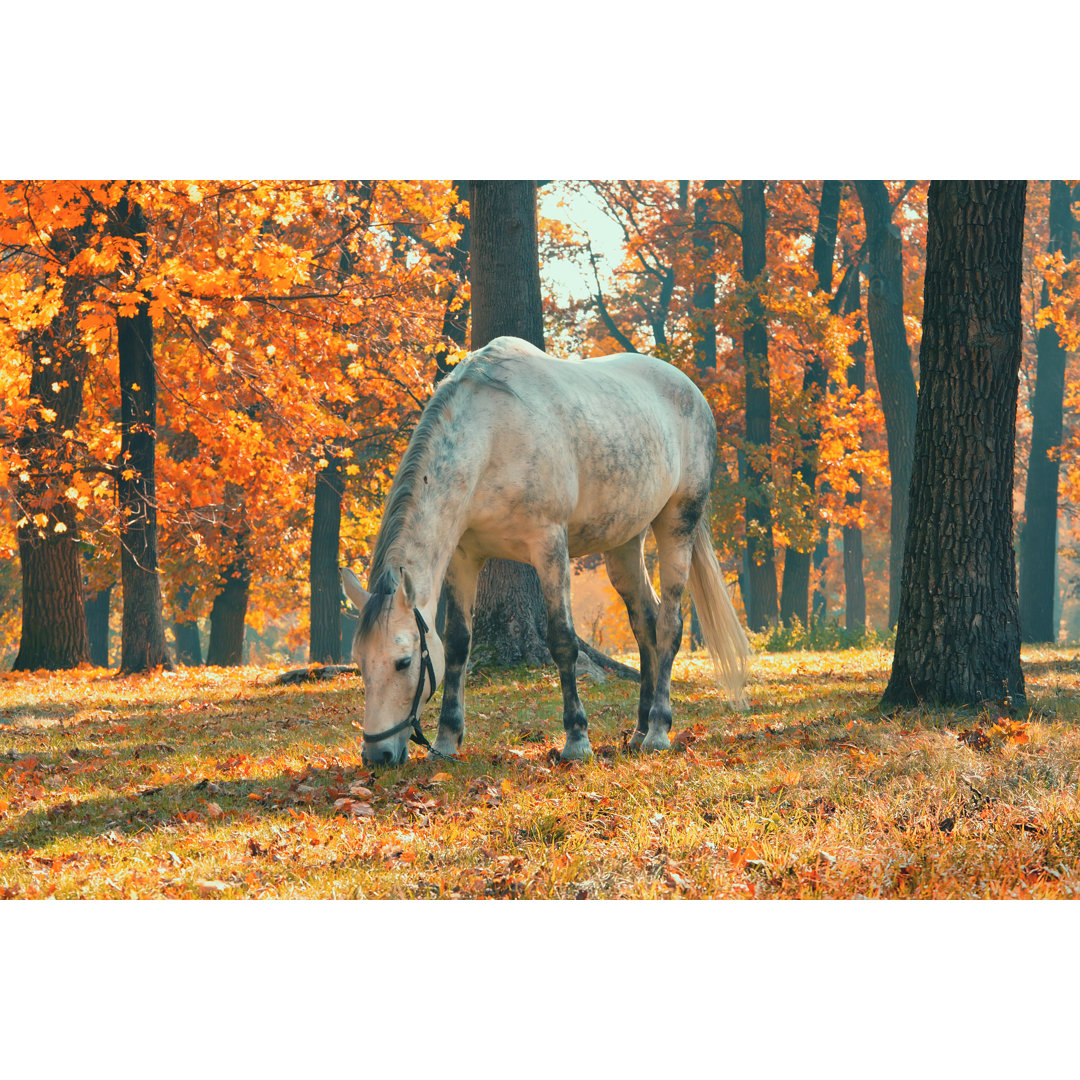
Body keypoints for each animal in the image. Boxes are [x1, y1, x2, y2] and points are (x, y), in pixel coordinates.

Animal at [341, 332, 747, 764]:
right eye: (360, 662)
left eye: (403, 662)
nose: (377, 755)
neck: (491, 433)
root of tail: (691, 391)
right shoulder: (464, 558)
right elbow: (457, 644)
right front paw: (447, 740)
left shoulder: (549, 545)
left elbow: (562, 640)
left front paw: (577, 738)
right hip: (624, 544)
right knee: (646, 624)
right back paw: (638, 731)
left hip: (677, 524)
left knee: (669, 625)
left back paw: (657, 730)